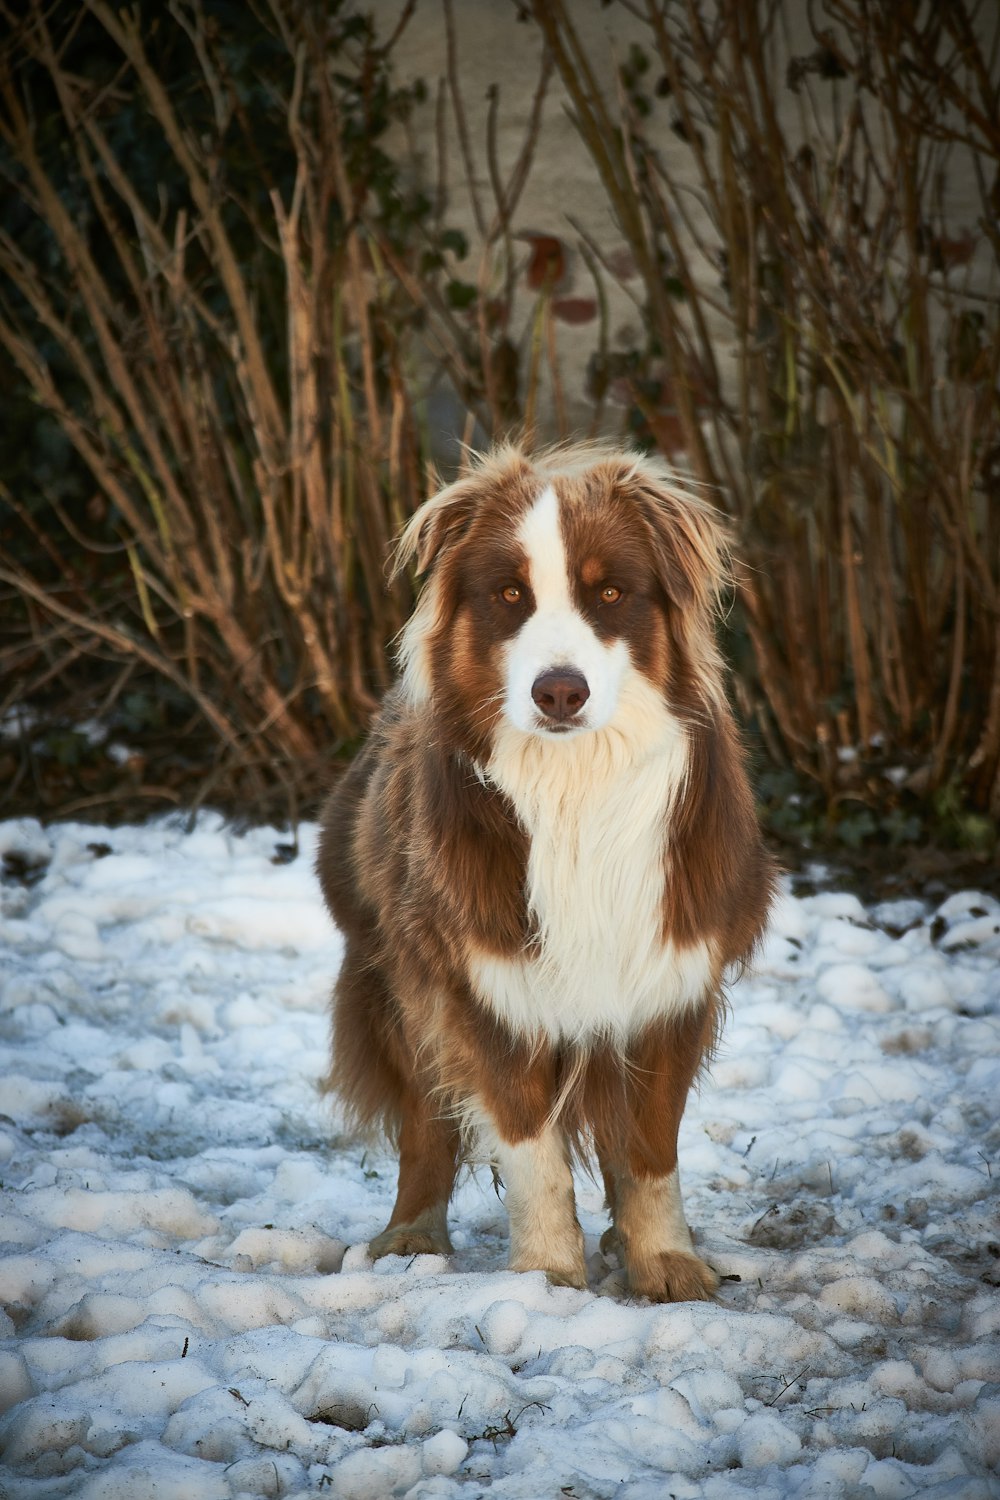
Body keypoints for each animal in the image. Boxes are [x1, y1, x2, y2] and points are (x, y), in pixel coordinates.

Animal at [316, 441, 779, 1302]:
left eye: (610, 593)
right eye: (509, 595)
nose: (559, 691)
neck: (575, 787)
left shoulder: (670, 981)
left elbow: (649, 1151)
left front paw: (665, 1261)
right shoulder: (488, 985)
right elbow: (533, 1150)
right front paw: (546, 1275)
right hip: (396, 978)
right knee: (426, 1121)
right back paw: (410, 1234)